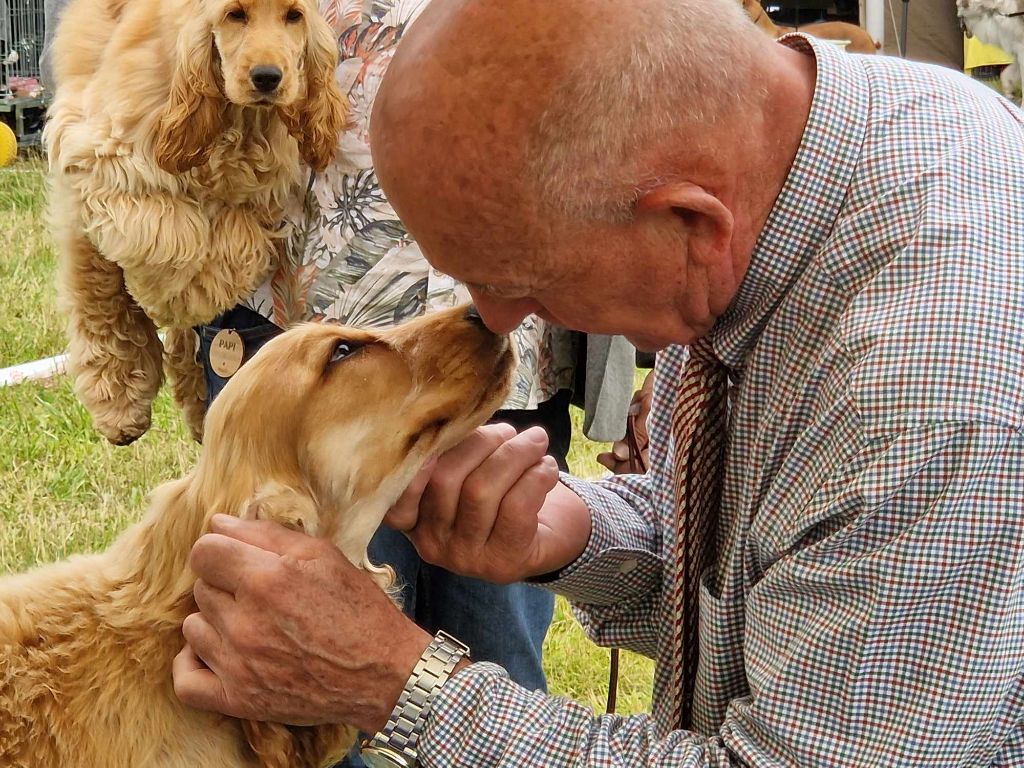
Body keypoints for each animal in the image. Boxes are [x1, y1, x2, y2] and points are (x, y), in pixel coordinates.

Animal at [45, 0, 348, 448]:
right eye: (235, 15)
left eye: (294, 16)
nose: (268, 78)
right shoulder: (106, 158)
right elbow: (168, 235)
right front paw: (175, 296)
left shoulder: (263, 189)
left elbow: (239, 238)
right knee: (97, 291)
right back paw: (120, 405)